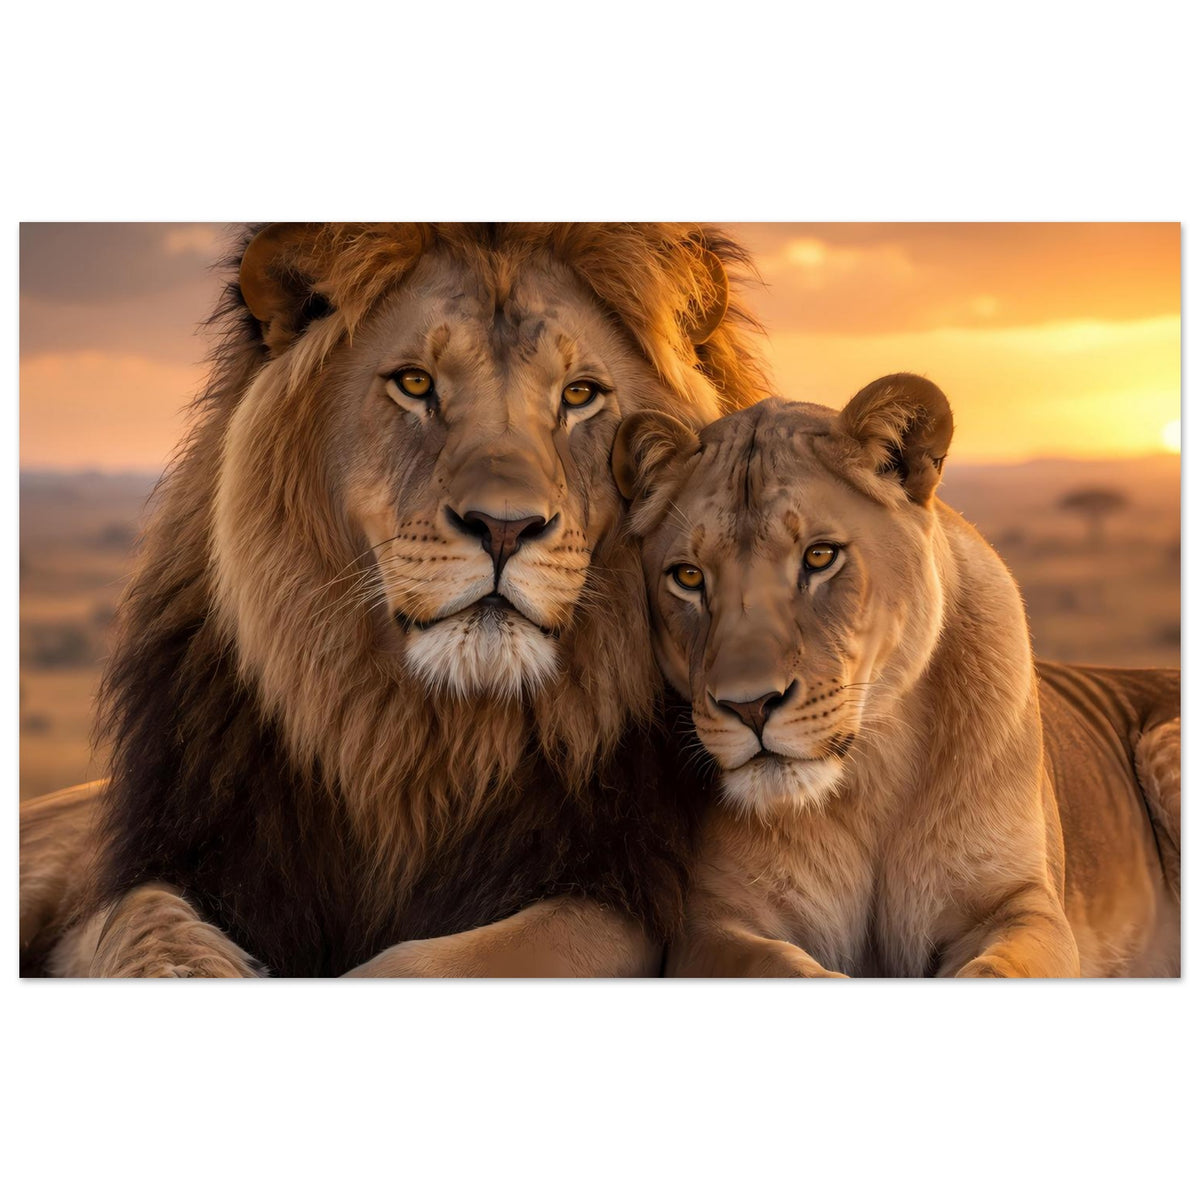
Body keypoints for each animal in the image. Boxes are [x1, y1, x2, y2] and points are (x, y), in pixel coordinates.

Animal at [19, 222, 769, 978]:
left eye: (582, 394)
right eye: (415, 384)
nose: (504, 527)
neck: (424, 745)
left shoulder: (617, 895)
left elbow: (420, 962)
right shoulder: (173, 862)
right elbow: (142, 927)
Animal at [613, 376, 1180, 977]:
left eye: (820, 556)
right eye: (688, 576)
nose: (749, 707)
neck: (870, 780)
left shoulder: (1022, 904)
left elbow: (995, 969)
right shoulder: (712, 925)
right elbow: (786, 969)